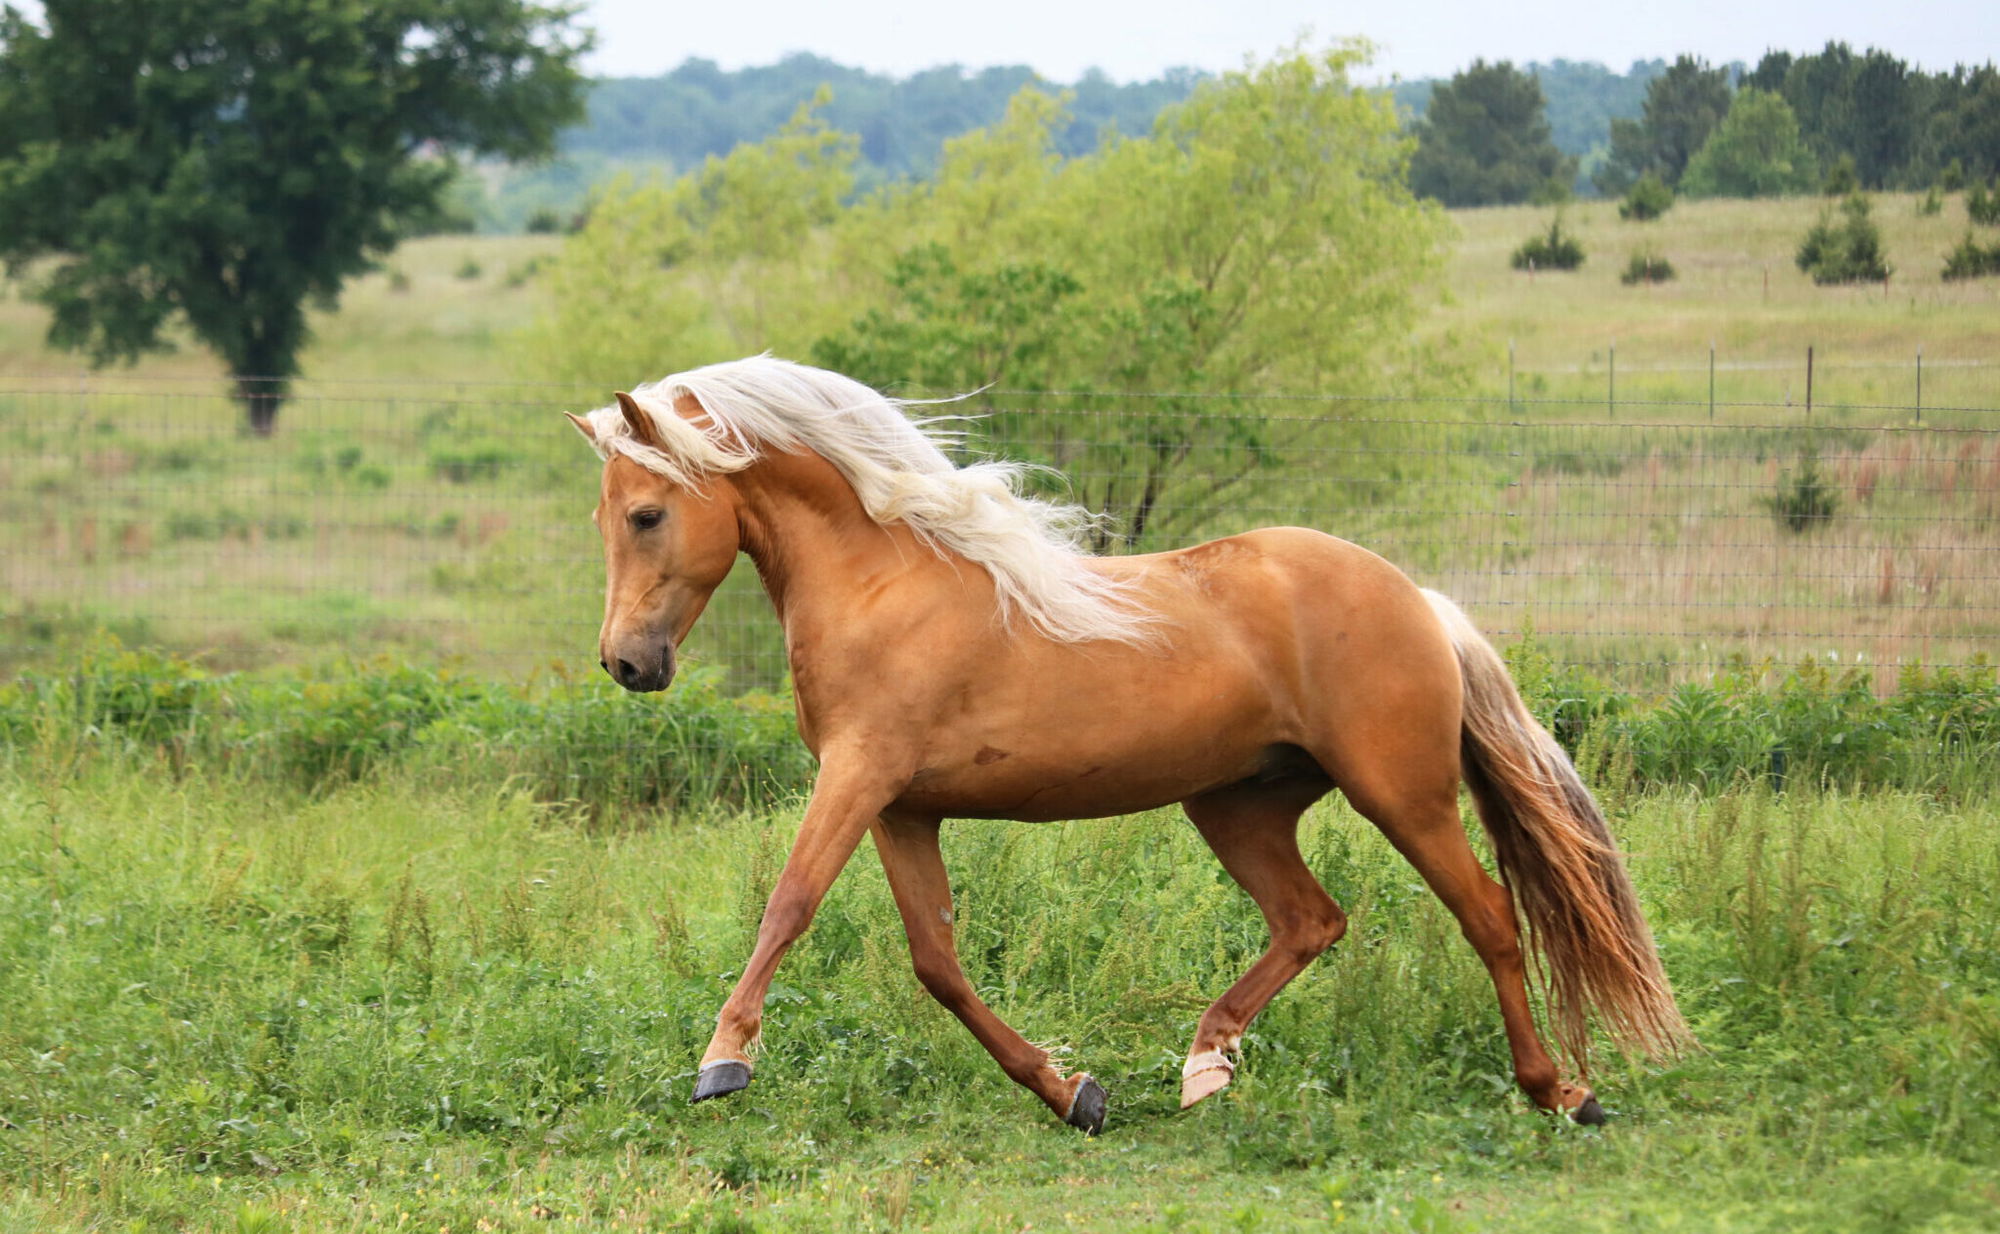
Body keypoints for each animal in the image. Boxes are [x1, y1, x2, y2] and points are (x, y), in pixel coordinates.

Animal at [566, 355, 1689, 1135]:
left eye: (647, 513)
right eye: (607, 517)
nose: (625, 662)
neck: (886, 579)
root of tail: (1416, 599)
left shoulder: (859, 775)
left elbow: (789, 904)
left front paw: (722, 1062)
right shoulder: (903, 807)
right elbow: (938, 963)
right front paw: (1074, 1093)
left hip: (1399, 794)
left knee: (1489, 917)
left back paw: (1560, 1093)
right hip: (1236, 805)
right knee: (1311, 920)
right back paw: (1203, 1067)